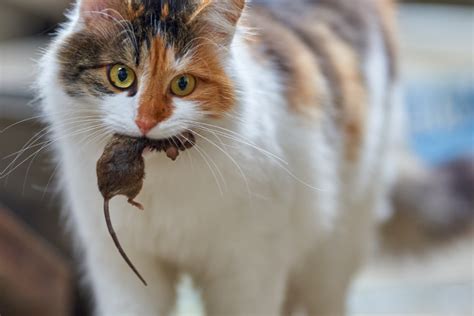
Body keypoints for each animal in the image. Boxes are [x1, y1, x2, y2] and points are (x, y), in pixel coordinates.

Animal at [39, 0, 404, 314]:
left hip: (337, 244)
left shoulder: (247, 269)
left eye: (183, 84)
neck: (163, 184)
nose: (145, 121)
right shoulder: (124, 267)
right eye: (121, 75)